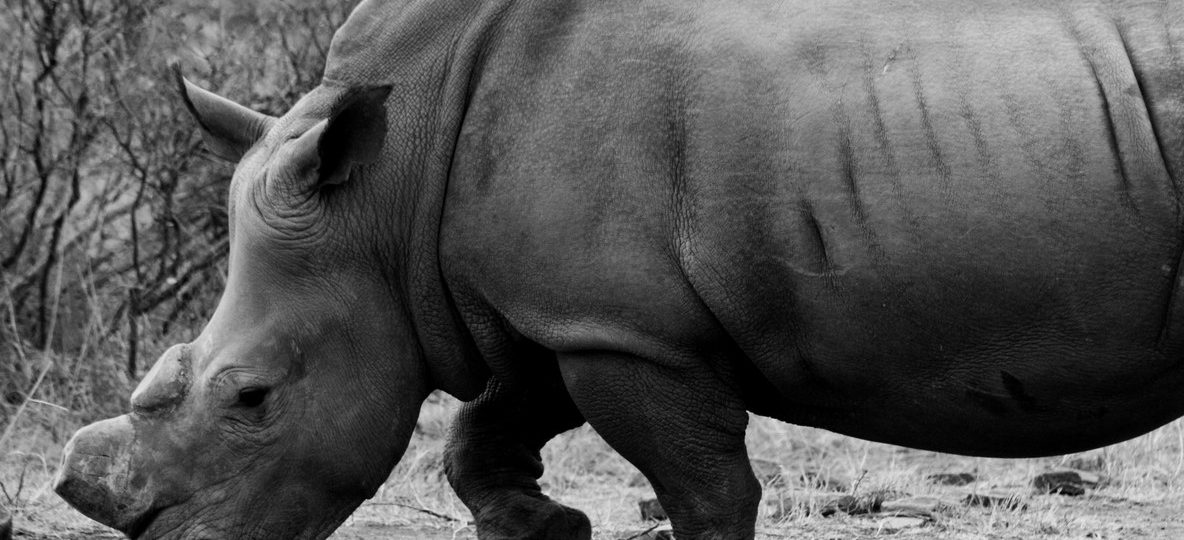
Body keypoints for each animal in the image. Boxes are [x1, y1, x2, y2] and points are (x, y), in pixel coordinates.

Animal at [54, 0, 1184, 538]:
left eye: (251, 399)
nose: (155, 534)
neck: (384, 196)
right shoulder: (561, 314)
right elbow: (477, 436)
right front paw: (550, 528)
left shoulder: (624, 333)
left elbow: (707, 493)